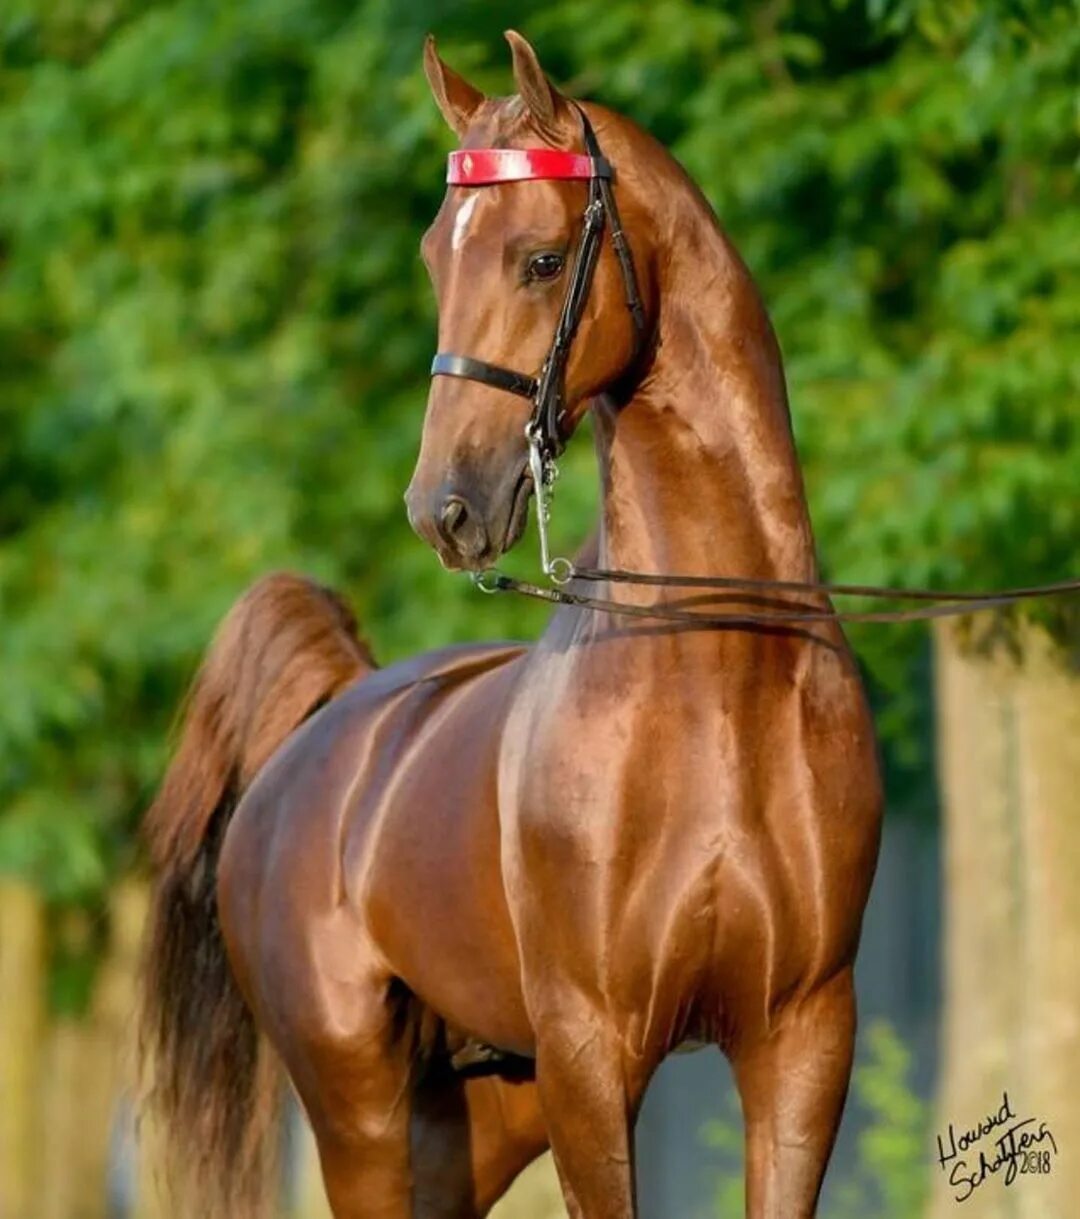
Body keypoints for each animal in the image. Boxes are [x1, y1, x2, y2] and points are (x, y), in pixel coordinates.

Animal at [139, 28, 882, 1219]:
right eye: (433, 261)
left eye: (539, 260)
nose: (443, 508)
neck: (717, 683)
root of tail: (324, 728)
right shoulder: (590, 1049)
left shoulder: (802, 1038)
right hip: (359, 1110)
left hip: (483, 1112)